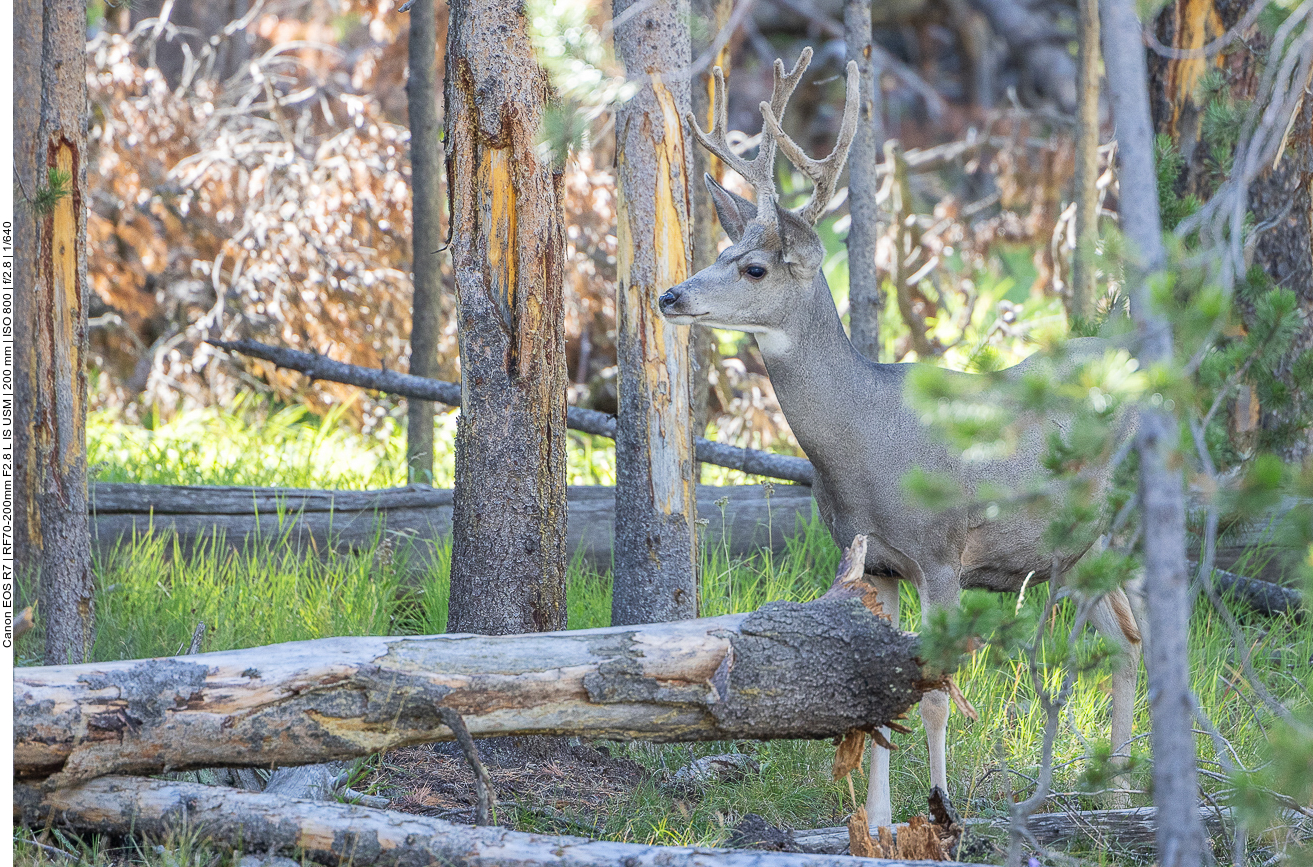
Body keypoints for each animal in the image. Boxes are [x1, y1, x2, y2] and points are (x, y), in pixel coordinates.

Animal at [661, 49, 1144, 835]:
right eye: (725, 248)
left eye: (753, 267)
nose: (670, 295)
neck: (863, 444)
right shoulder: (874, 558)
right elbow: (877, 695)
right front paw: (880, 821)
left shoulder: (942, 554)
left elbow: (937, 696)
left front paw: (944, 814)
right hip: (1071, 553)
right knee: (1128, 639)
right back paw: (1119, 791)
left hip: (1116, 530)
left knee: (1140, 636)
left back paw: (1125, 791)